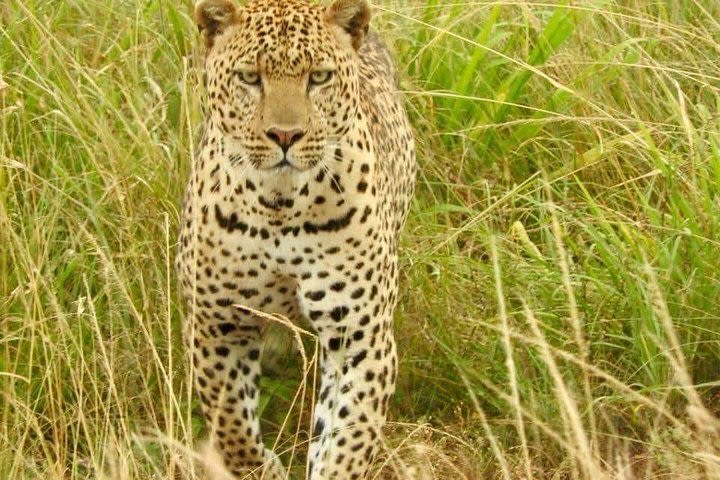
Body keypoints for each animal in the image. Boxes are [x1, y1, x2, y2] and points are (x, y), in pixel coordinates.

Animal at [175, 0, 420, 476]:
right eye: (250, 77)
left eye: (319, 77)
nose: (285, 135)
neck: (280, 204)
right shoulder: (216, 325)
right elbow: (232, 427)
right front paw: (262, 468)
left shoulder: (359, 337)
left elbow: (347, 440)